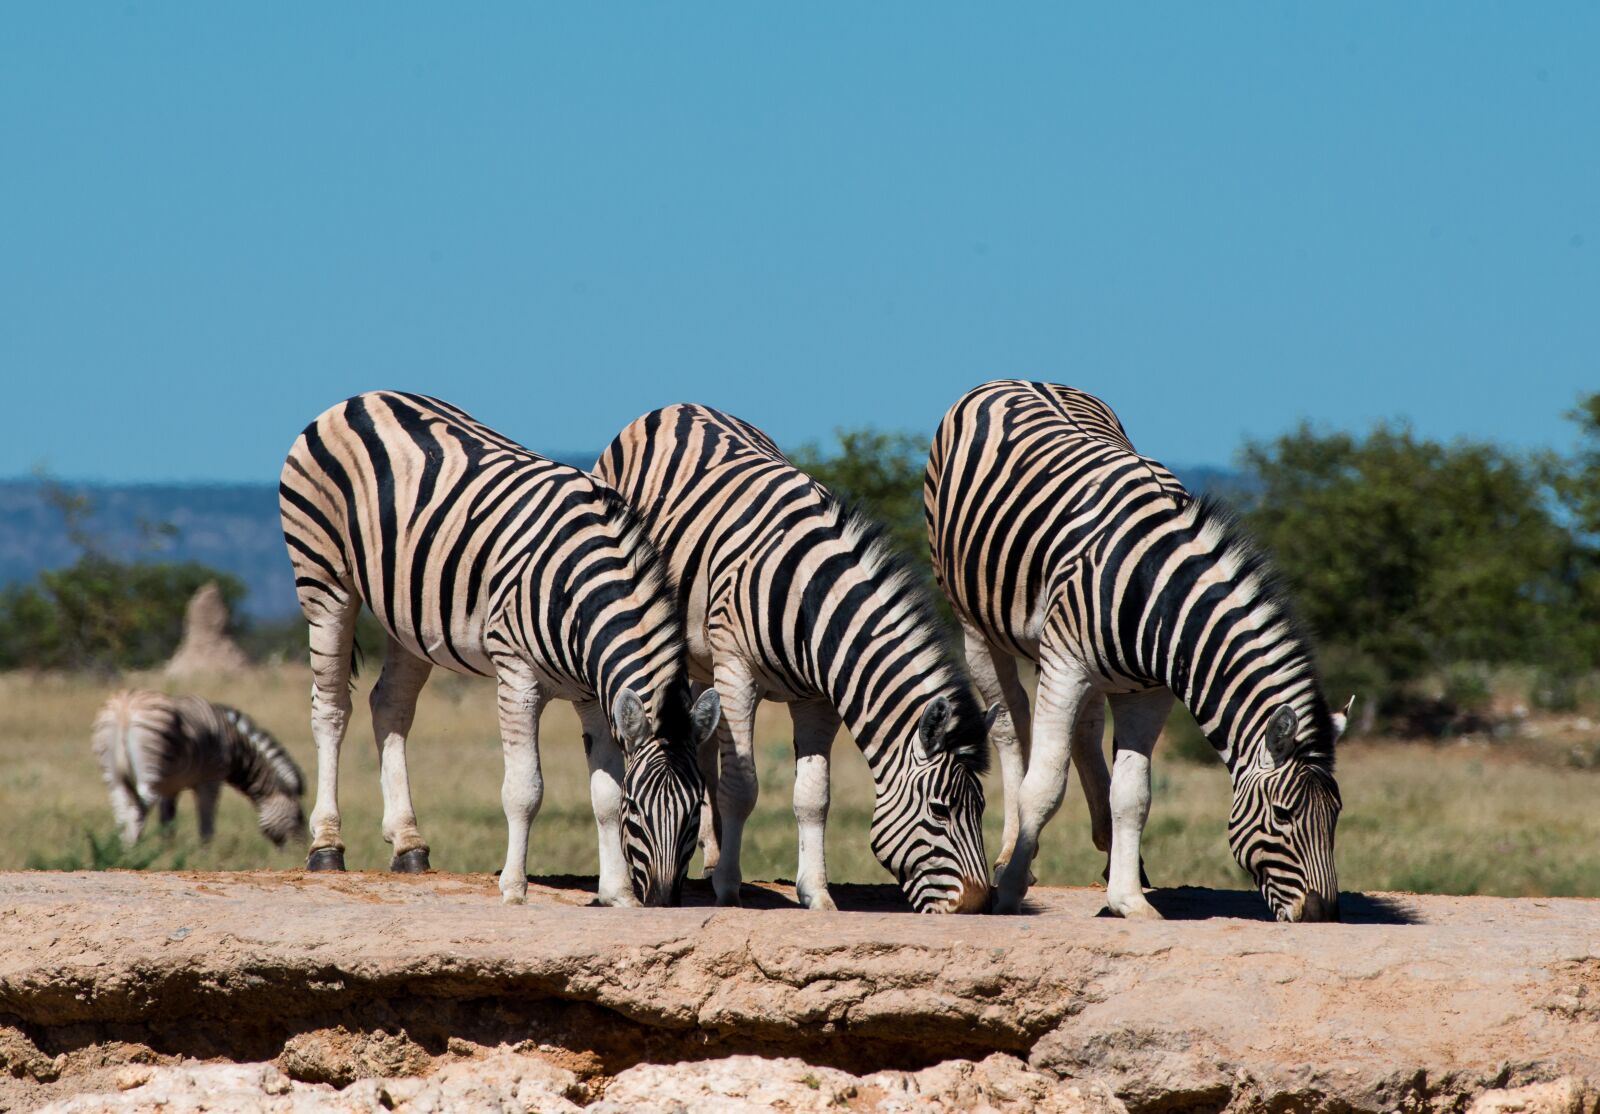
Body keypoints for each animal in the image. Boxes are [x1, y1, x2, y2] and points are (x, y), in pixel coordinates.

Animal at [93, 691, 305, 851]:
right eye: (298, 816)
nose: (299, 852)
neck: (234, 744)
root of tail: (125, 707)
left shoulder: (169, 787)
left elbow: (168, 824)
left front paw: (167, 853)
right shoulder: (210, 781)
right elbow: (206, 824)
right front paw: (205, 856)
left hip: (112, 773)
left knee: (121, 808)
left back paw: (123, 851)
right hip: (149, 771)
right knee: (139, 808)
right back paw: (133, 850)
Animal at [280, 392, 720, 902]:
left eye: (695, 815)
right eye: (638, 815)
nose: (663, 902)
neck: (578, 590)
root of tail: (362, 398)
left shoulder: (593, 694)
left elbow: (603, 793)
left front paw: (617, 893)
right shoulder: (517, 677)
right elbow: (525, 790)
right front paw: (514, 889)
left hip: (407, 614)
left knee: (389, 704)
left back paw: (408, 844)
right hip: (324, 579)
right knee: (330, 708)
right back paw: (326, 846)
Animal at [595, 406, 992, 915]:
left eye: (982, 808)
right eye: (941, 811)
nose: (976, 905)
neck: (810, 596)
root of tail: (676, 407)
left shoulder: (818, 699)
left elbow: (813, 797)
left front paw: (816, 893)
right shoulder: (737, 672)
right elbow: (741, 786)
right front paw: (729, 889)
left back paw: (714, 851)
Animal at [928, 382, 1350, 921]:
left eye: (1336, 813)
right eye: (1284, 813)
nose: (1322, 914)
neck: (1159, 593)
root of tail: (1017, 378)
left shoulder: (1146, 691)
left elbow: (1134, 795)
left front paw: (1128, 898)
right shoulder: (1067, 666)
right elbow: (1043, 787)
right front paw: (1011, 889)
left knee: (1084, 732)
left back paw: (1109, 848)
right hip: (977, 627)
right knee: (1010, 724)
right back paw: (1006, 854)